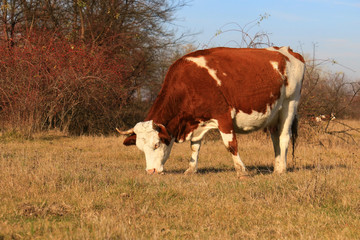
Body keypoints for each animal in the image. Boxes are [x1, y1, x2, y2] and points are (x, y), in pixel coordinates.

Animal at [117, 47, 304, 177]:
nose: (151, 171)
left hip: (290, 104)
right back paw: (277, 166)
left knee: (284, 137)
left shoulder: (223, 116)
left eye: (156, 144)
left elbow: (231, 145)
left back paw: (281, 169)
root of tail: (287, 51)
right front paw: (191, 170)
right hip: (274, 114)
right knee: (275, 138)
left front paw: (242, 171)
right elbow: (195, 146)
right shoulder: (196, 121)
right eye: (140, 148)